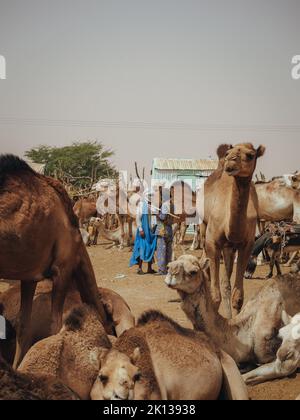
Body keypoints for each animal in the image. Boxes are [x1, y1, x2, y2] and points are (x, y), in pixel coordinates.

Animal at [204, 144, 264, 318]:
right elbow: (214, 297)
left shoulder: (246, 245)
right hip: (204, 227)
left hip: (229, 248)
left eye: (250, 155)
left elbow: (238, 297)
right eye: (228, 153)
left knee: (226, 282)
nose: (230, 162)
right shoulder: (212, 242)